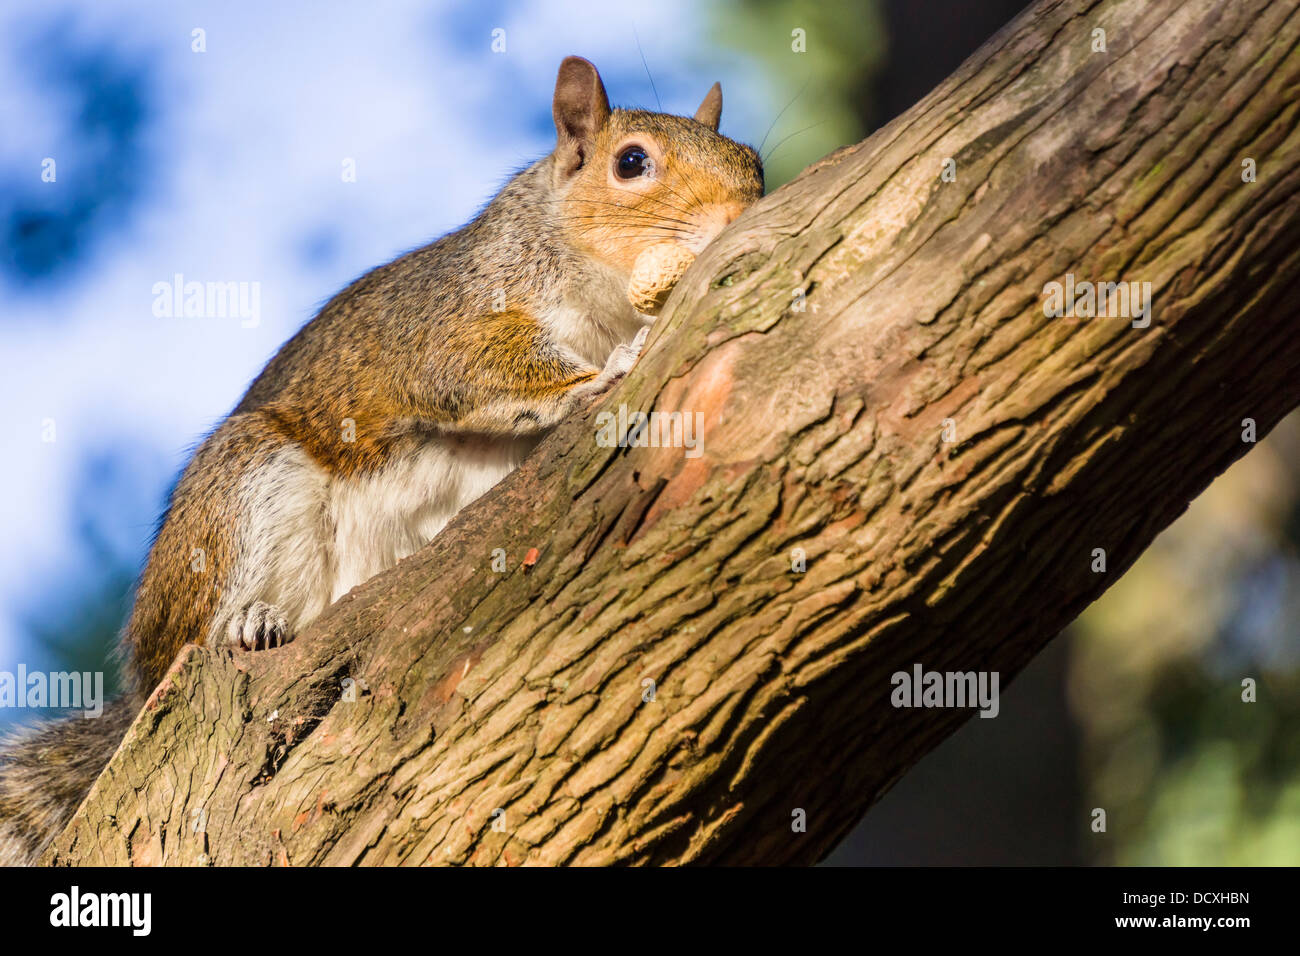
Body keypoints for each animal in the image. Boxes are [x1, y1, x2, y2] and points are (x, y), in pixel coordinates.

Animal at [0, 57, 759, 868]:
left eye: (754, 159)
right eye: (631, 163)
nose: (741, 212)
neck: (596, 282)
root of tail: (139, 687)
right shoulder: (451, 322)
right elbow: (477, 371)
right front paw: (611, 365)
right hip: (241, 486)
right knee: (200, 629)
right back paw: (246, 624)